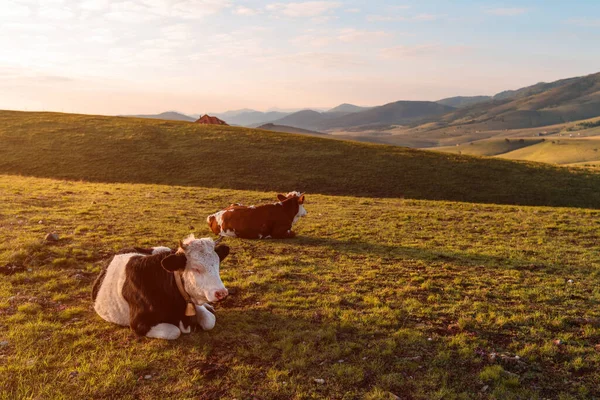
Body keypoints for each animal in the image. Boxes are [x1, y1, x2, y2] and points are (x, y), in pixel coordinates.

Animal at [93, 236, 230, 340]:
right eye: (196, 268)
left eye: (218, 264)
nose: (222, 293)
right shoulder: (138, 324)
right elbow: (174, 331)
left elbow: (209, 321)